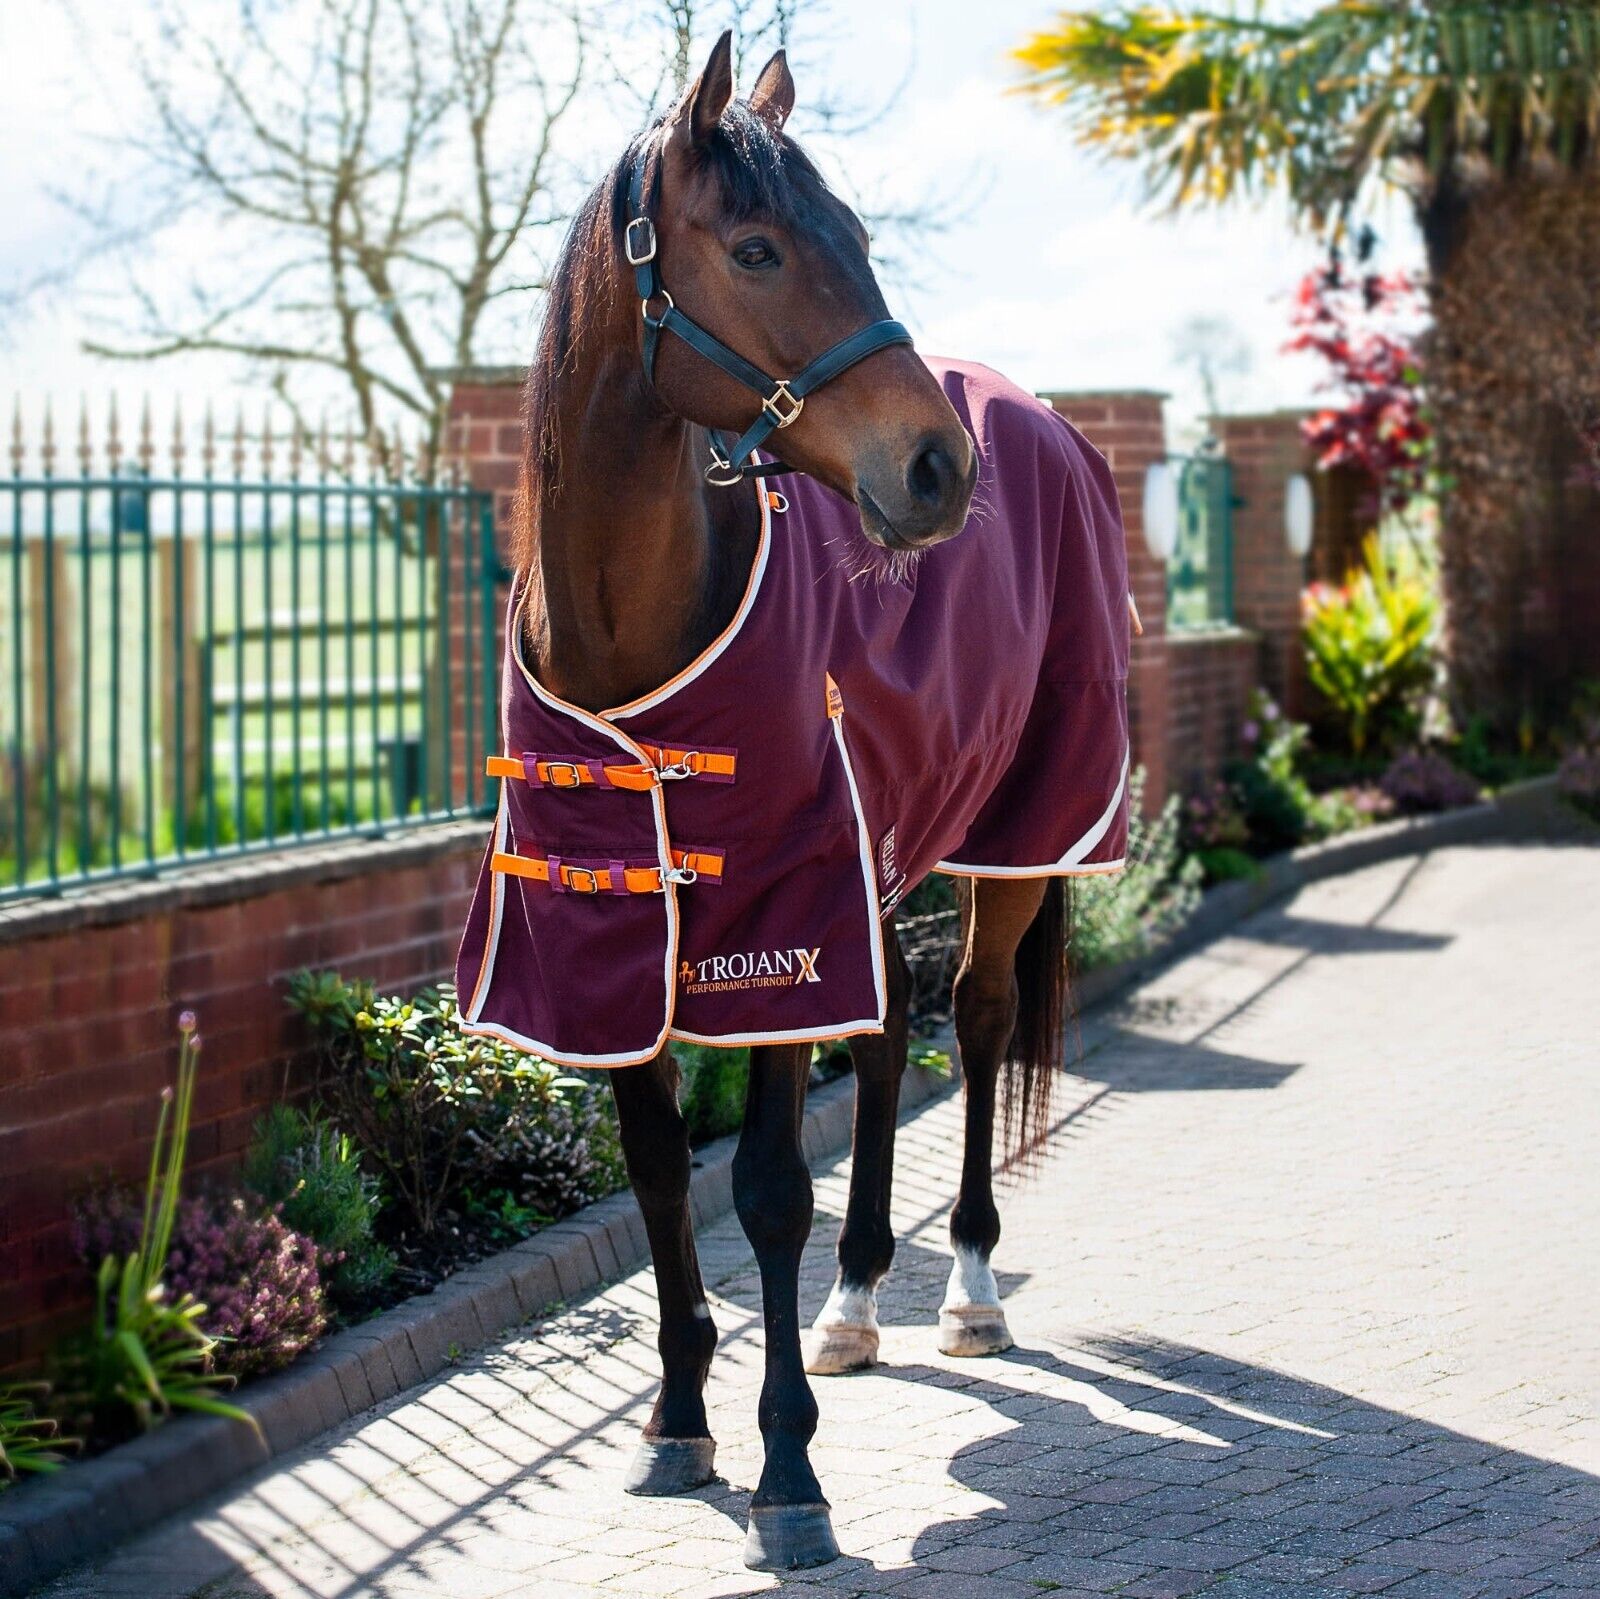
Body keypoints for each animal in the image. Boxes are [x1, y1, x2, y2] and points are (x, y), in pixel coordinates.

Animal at [455, 32, 1130, 1571]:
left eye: (862, 238)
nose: (937, 468)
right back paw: (856, 1303)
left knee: (973, 1021)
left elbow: (765, 1187)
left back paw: (969, 1288)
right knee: (885, 1048)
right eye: (757, 247)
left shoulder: (774, 926)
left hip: (1010, 846)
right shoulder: (611, 941)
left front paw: (788, 1476)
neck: (630, 641)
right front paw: (676, 1423)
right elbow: (660, 1172)